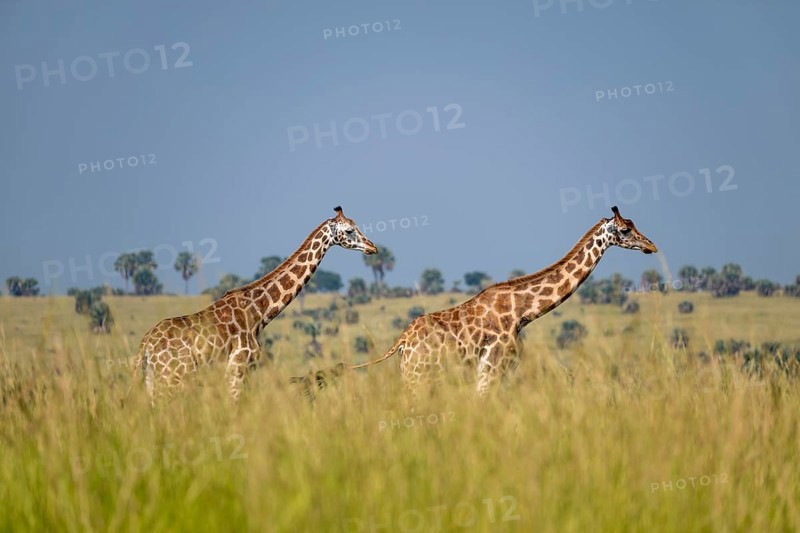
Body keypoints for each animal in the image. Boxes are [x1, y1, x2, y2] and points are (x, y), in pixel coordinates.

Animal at [135, 206, 377, 401]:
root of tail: (145, 346)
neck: (259, 312)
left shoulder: (246, 371)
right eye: (349, 230)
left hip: (153, 380)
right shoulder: (237, 369)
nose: (372, 247)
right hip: (173, 377)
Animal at [293, 206, 657, 401]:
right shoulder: (493, 366)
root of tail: (401, 342)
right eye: (625, 230)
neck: (523, 311)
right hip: (418, 376)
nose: (651, 246)